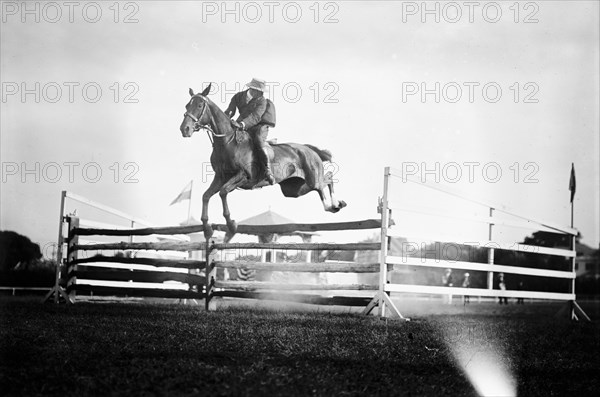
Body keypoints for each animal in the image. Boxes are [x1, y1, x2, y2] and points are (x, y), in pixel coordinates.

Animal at [178, 84, 346, 240]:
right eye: (187, 105)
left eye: (200, 105)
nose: (185, 129)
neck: (227, 142)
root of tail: (309, 149)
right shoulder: (220, 177)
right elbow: (206, 196)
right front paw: (207, 229)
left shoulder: (243, 176)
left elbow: (223, 192)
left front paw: (231, 226)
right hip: (294, 189)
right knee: (325, 180)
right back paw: (336, 205)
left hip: (312, 179)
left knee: (326, 180)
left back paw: (333, 204)